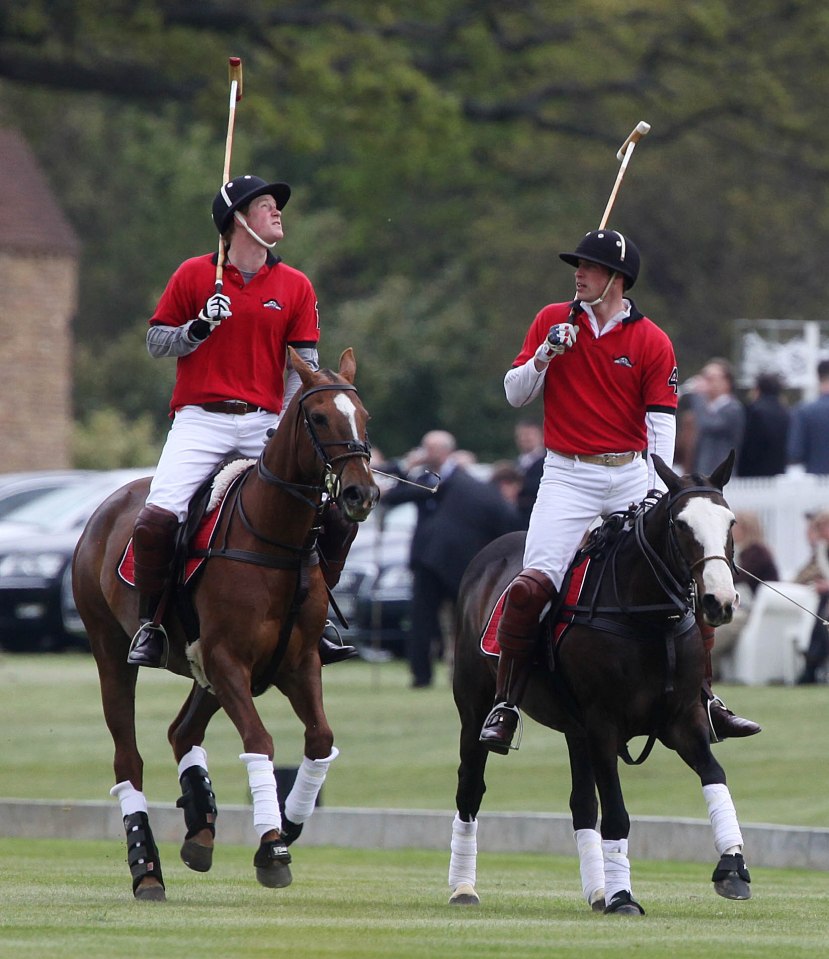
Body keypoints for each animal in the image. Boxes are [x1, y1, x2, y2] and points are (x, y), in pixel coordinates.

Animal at [74, 350, 378, 900]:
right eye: (319, 417)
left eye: (364, 417)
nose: (360, 494)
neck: (276, 540)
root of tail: (107, 505)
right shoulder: (228, 659)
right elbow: (260, 742)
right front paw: (272, 846)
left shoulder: (297, 663)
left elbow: (320, 738)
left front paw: (290, 823)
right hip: (111, 649)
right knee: (129, 759)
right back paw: (146, 870)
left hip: (206, 671)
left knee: (181, 731)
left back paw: (200, 829)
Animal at [450, 454, 752, 920]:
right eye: (681, 524)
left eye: (730, 522)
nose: (718, 602)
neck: (648, 617)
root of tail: (489, 551)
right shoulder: (604, 725)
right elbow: (616, 813)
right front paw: (624, 897)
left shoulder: (681, 720)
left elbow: (714, 775)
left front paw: (732, 867)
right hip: (475, 706)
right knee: (471, 785)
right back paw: (464, 886)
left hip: (575, 730)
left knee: (581, 804)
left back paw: (596, 892)